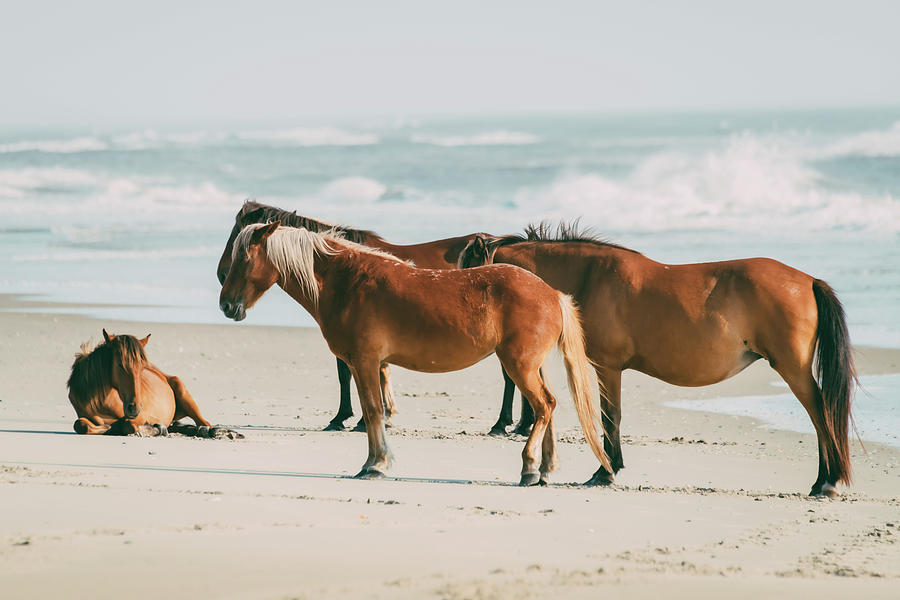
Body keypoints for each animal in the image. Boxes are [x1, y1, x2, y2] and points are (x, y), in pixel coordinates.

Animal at [67, 330, 241, 438]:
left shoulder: (141, 416)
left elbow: (128, 425)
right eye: (120, 365)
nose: (134, 408)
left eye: (142, 367)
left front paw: (156, 429)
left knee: (205, 424)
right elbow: (80, 425)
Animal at [220, 223, 612, 486]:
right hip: (532, 367)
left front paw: (375, 465)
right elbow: (374, 412)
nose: (226, 305)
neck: (347, 281)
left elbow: (373, 412)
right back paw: (545, 469)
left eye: (244, 258)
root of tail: (551, 293)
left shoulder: (365, 362)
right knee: (548, 406)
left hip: (520, 366)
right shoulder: (367, 365)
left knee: (543, 406)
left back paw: (530, 468)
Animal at [460, 221, 856, 496]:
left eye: (471, 267)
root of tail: (807, 281)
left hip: (793, 369)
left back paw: (826, 482)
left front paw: (605, 472)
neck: (591, 277)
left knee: (820, 415)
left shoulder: (608, 367)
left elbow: (611, 417)